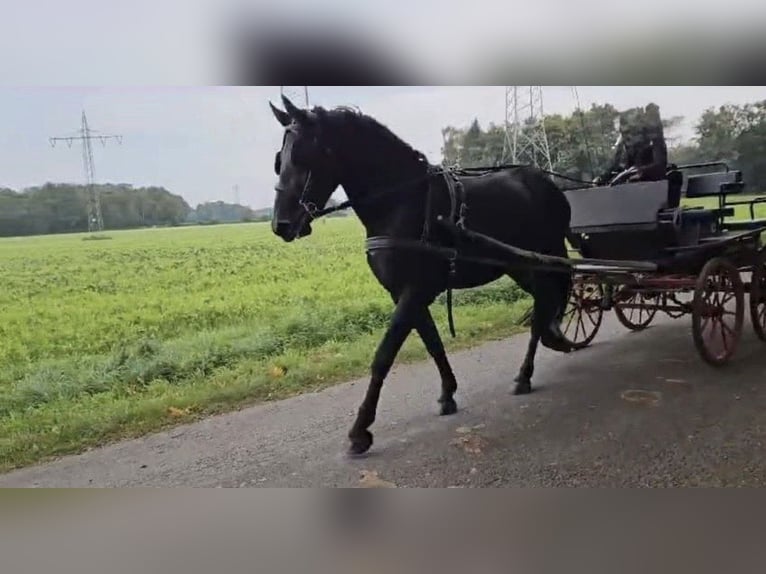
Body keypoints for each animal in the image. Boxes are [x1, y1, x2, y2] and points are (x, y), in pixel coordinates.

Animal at [268, 94, 574, 456]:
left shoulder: (414, 290)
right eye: (279, 160)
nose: (281, 225)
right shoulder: (405, 292)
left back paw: (525, 374)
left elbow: (384, 354)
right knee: (544, 303)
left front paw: (360, 429)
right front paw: (447, 393)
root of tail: (546, 182)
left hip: (545, 255)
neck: (402, 202)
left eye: (303, 155)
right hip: (520, 265)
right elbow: (432, 341)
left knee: (545, 304)